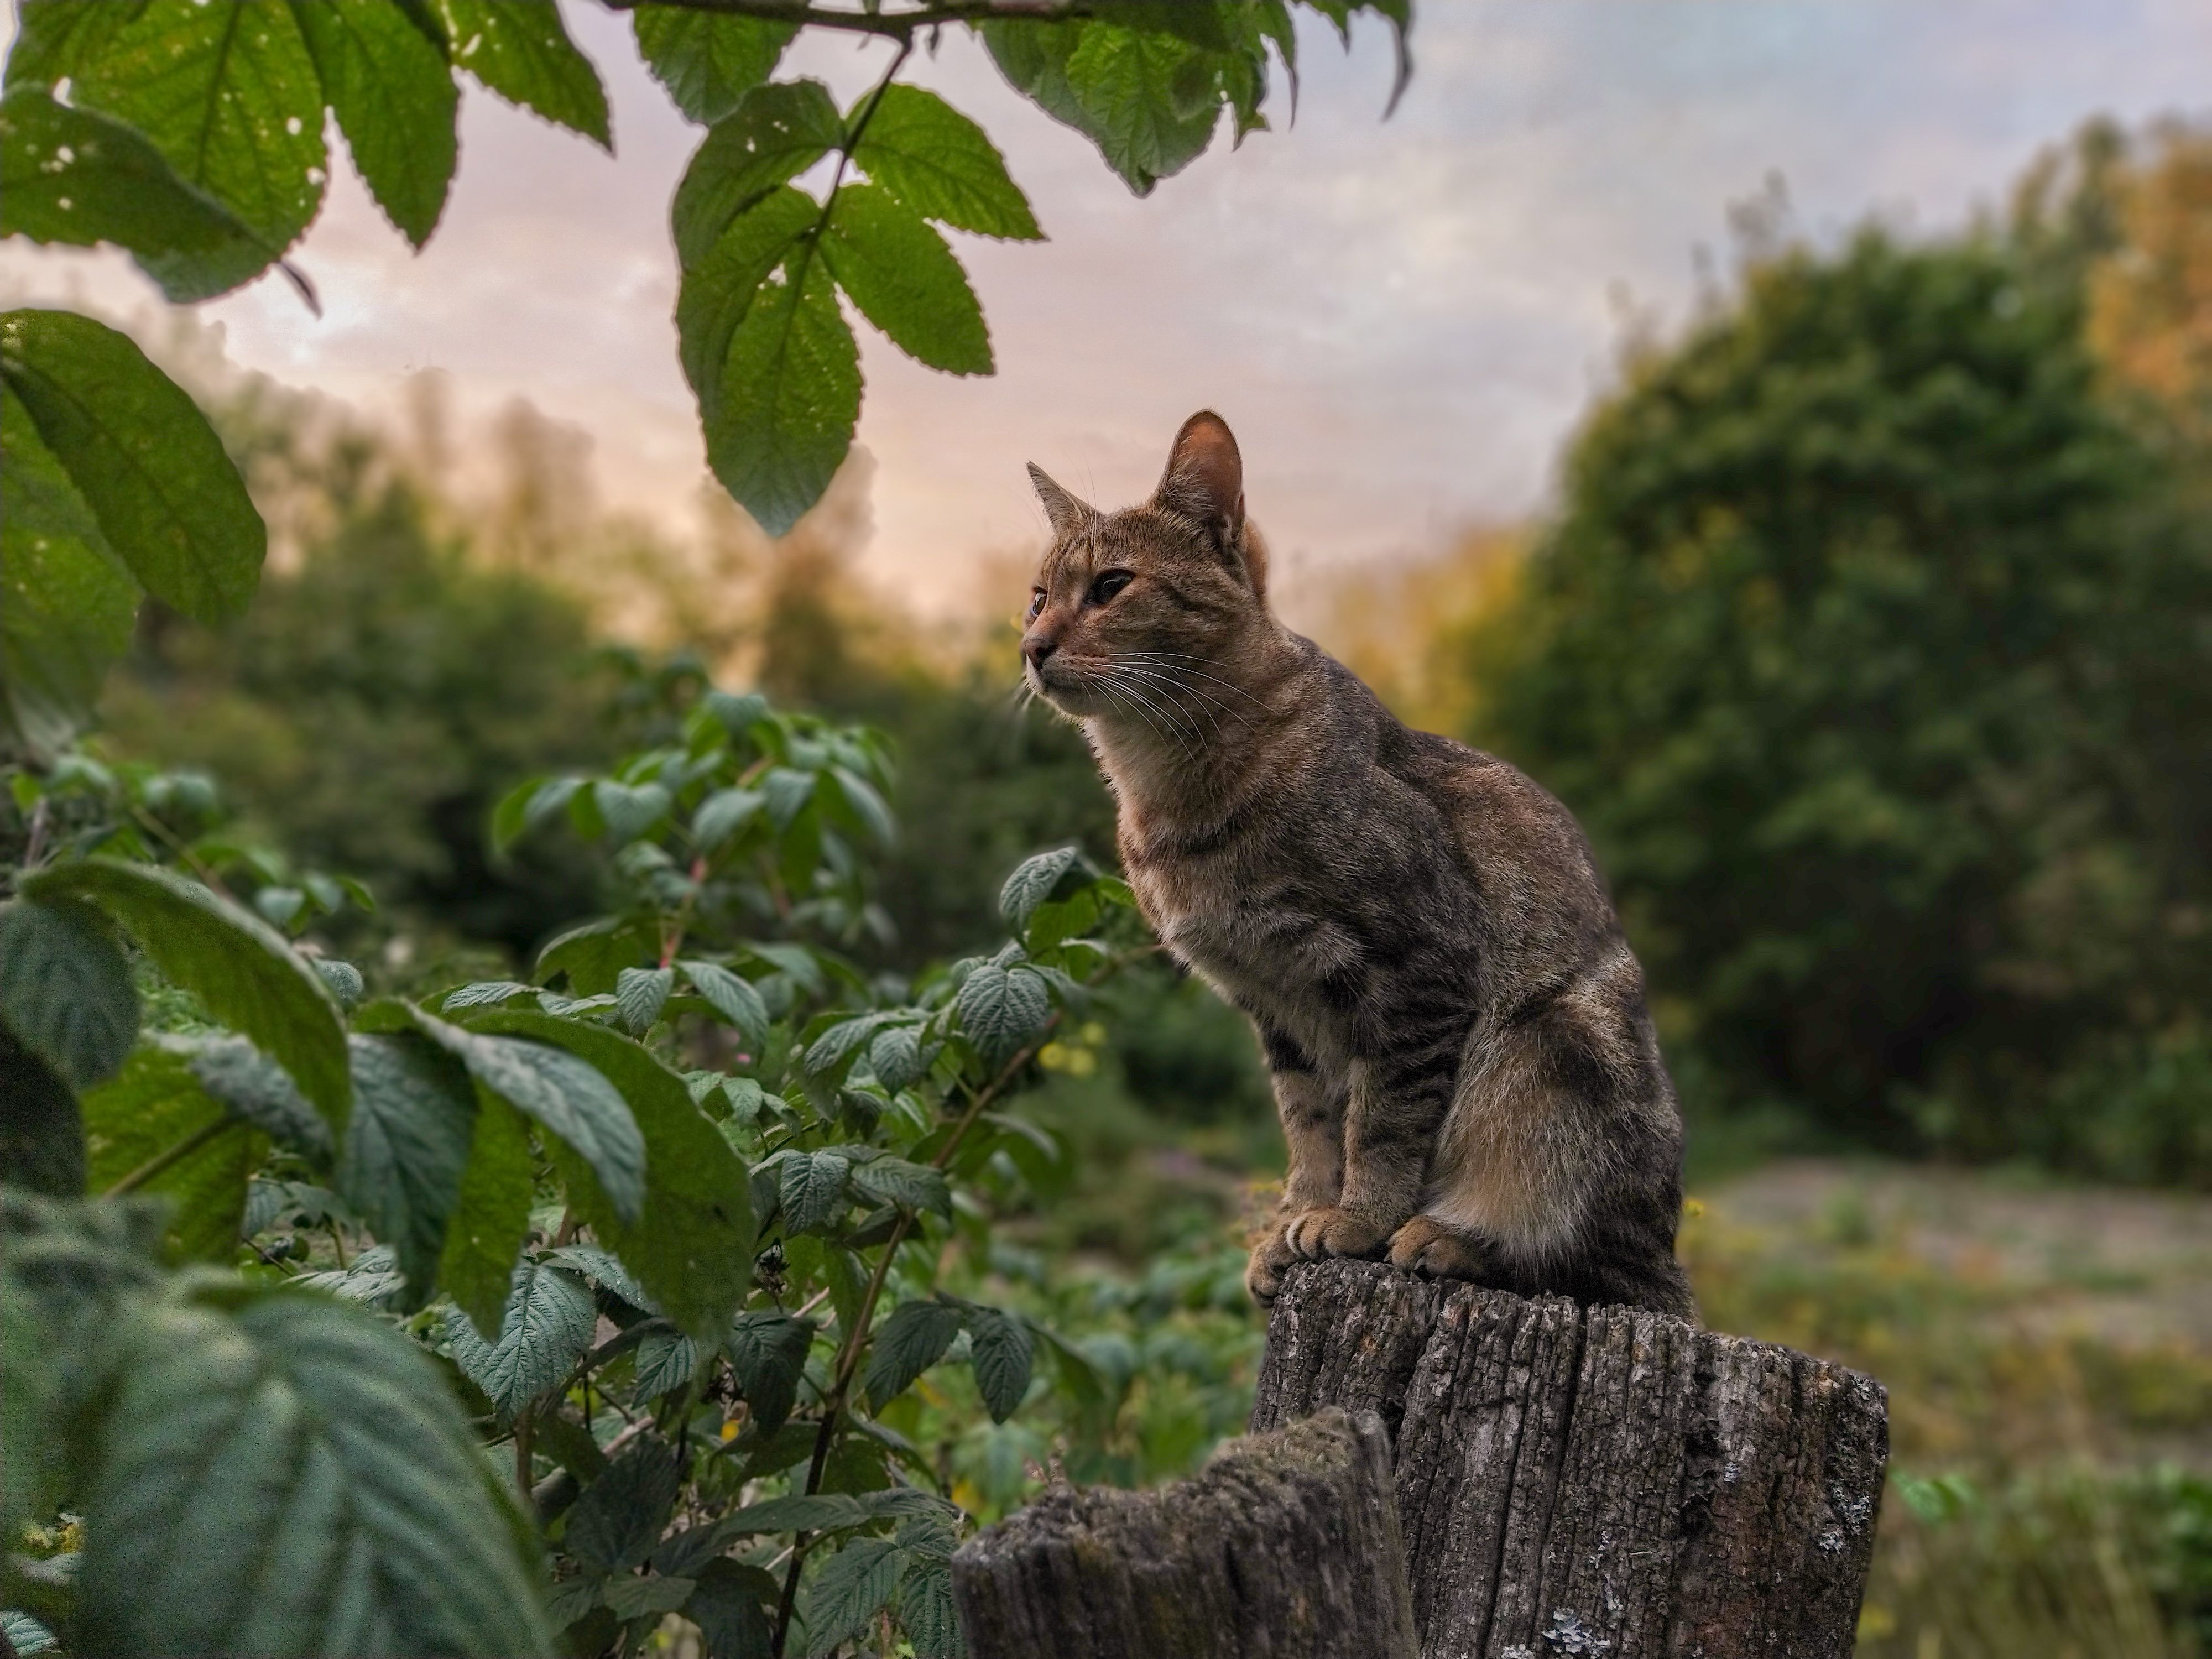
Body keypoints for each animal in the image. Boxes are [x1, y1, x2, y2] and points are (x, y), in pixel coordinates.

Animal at [1018, 409, 1690, 1318]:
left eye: (1112, 585)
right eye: (1038, 594)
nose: (1031, 645)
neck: (1167, 789)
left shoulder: (1419, 972)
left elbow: (1383, 1120)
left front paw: (1360, 1219)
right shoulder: (1278, 1007)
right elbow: (1311, 1130)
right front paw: (1299, 1221)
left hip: (1552, 1055)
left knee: (1589, 1264)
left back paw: (1450, 1236)